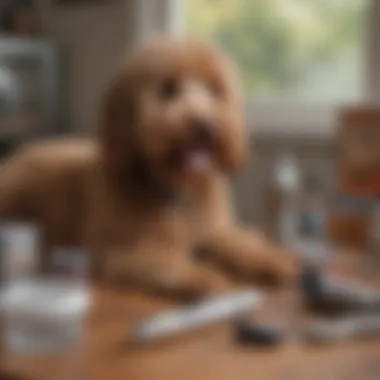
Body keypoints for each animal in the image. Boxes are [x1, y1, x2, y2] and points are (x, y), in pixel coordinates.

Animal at [0, 35, 300, 300]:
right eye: (168, 90)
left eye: (214, 90)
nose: (205, 125)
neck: (176, 189)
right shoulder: (123, 250)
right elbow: (169, 262)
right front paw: (204, 277)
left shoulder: (212, 227)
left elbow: (237, 241)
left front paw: (269, 258)